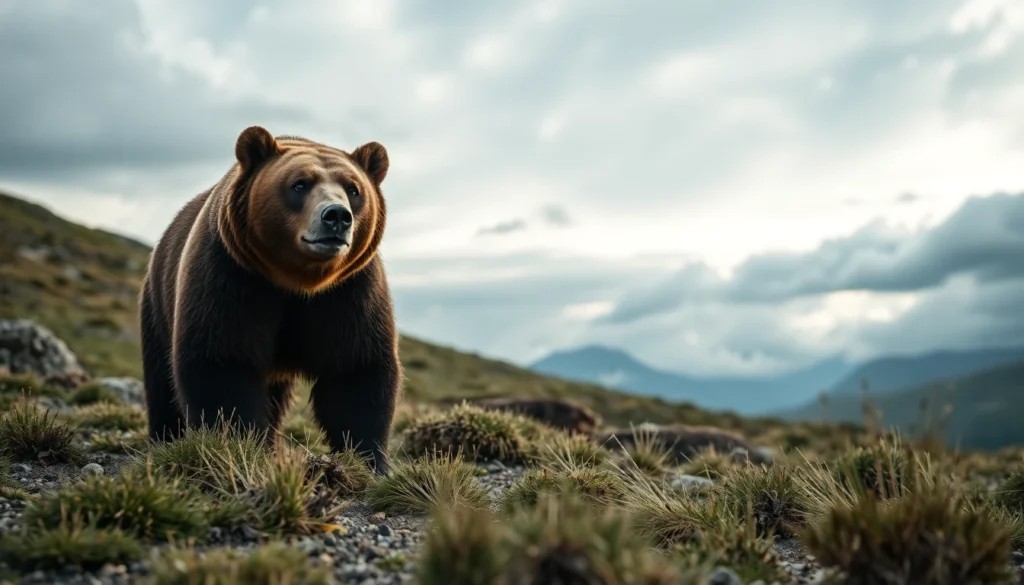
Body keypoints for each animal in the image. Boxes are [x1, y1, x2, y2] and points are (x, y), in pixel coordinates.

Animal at [138, 125, 402, 474]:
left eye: (353, 189)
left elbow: (356, 371)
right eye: (299, 184)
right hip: (158, 302)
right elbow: (222, 363)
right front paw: (236, 445)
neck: (297, 283)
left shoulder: (349, 293)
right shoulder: (233, 277)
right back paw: (165, 440)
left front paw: (369, 461)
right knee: (161, 380)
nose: (336, 216)